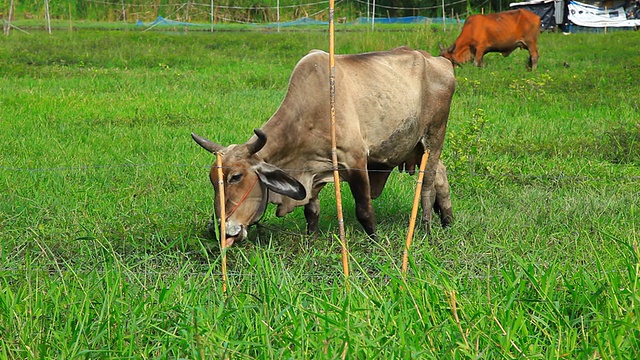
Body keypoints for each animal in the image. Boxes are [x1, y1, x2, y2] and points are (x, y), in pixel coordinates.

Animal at [190, 46, 456, 246]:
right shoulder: (313, 170)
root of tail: (441, 61)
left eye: (236, 177)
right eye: (212, 179)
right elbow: (311, 210)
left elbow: (364, 210)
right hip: (416, 146)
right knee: (442, 175)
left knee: (427, 185)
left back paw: (427, 227)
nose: (219, 230)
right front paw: (312, 239)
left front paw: (376, 242)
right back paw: (448, 221)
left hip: (434, 137)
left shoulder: (356, 161)